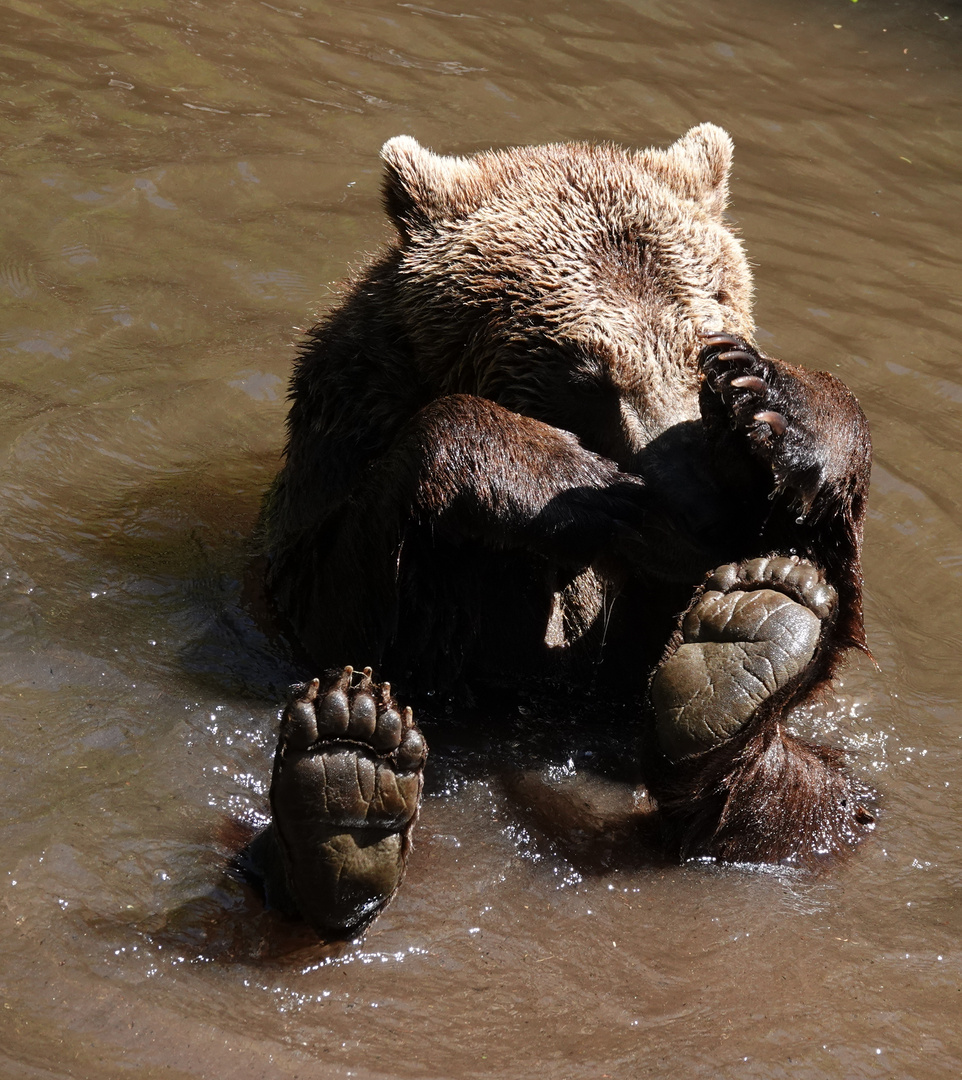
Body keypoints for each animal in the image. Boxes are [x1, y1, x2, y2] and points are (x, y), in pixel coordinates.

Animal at [246, 124, 872, 937]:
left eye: (705, 345)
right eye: (587, 372)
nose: (701, 502)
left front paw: (781, 404)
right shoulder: (340, 462)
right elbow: (355, 609)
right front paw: (562, 481)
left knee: (828, 805)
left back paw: (750, 644)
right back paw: (342, 789)